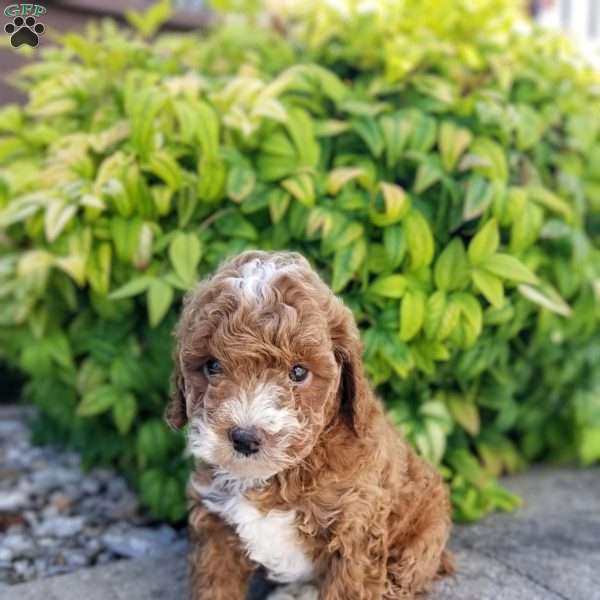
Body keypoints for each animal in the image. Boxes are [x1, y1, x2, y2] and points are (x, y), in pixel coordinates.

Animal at [166, 250, 452, 600]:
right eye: (212, 366)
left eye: (299, 372)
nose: (245, 438)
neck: (277, 477)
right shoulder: (215, 523)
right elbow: (215, 583)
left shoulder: (355, 526)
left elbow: (348, 589)